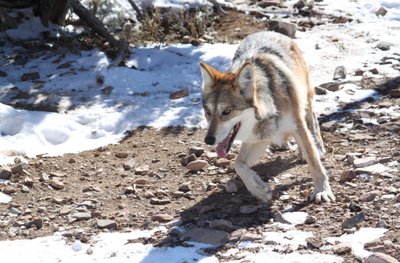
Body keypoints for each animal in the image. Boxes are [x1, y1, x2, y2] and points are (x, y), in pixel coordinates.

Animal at [200, 31, 334, 204]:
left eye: (227, 112)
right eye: (208, 112)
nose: (208, 140)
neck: (271, 106)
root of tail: (269, 31)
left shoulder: (297, 125)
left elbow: (314, 162)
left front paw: (322, 191)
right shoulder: (259, 138)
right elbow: (238, 164)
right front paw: (260, 190)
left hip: (305, 98)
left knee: (313, 121)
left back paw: (316, 147)